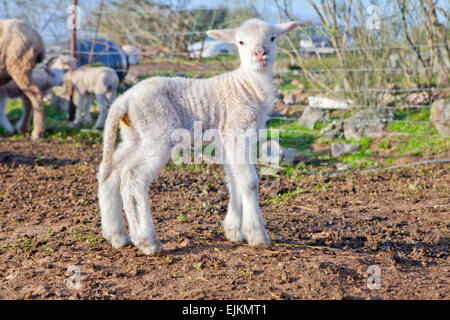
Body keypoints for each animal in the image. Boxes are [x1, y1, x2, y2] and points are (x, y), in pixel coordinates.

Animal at [96, 18, 298, 254]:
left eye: (273, 38)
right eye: (241, 42)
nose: (260, 53)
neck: (247, 84)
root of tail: (123, 101)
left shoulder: (227, 139)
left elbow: (233, 179)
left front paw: (234, 231)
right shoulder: (237, 131)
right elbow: (249, 181)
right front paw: (257, 235)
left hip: (135, 136)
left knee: (111, 171)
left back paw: (117, 236)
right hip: (157, 132)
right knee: (132, 176)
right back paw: (147, 241)